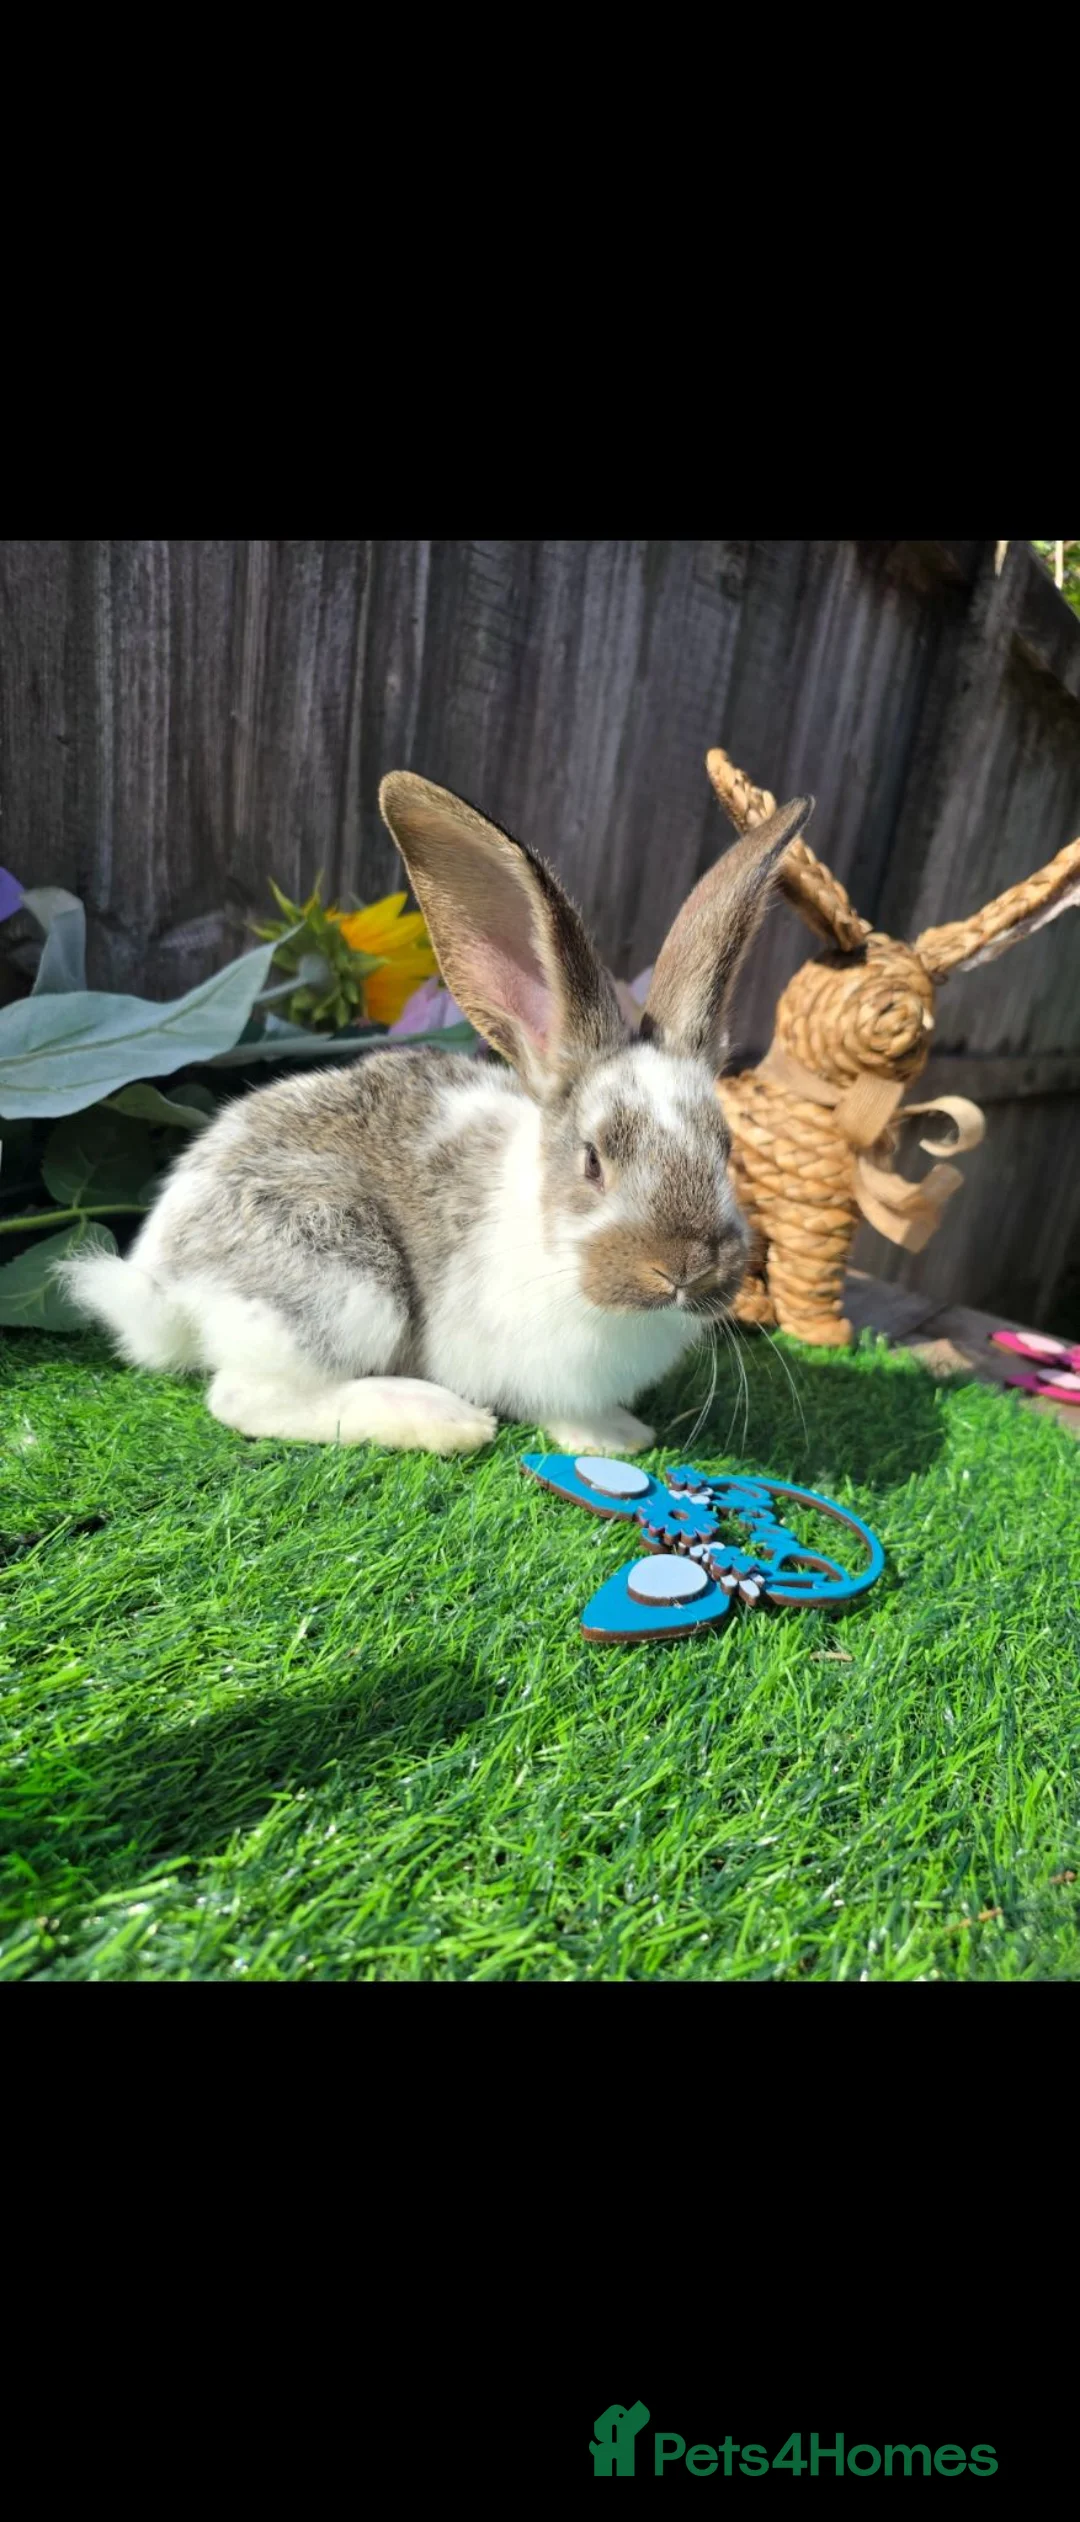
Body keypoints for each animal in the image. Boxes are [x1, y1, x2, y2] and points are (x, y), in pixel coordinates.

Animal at [61, 773, 813, 1454]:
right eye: (593, 1161)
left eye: (726, 1152)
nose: (684, 1269)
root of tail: (163, 1280)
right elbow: (563, 1413)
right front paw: (608, 1443)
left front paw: (625, 1434)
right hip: (342, 1283)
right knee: (247, 1399)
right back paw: (441, 1420)